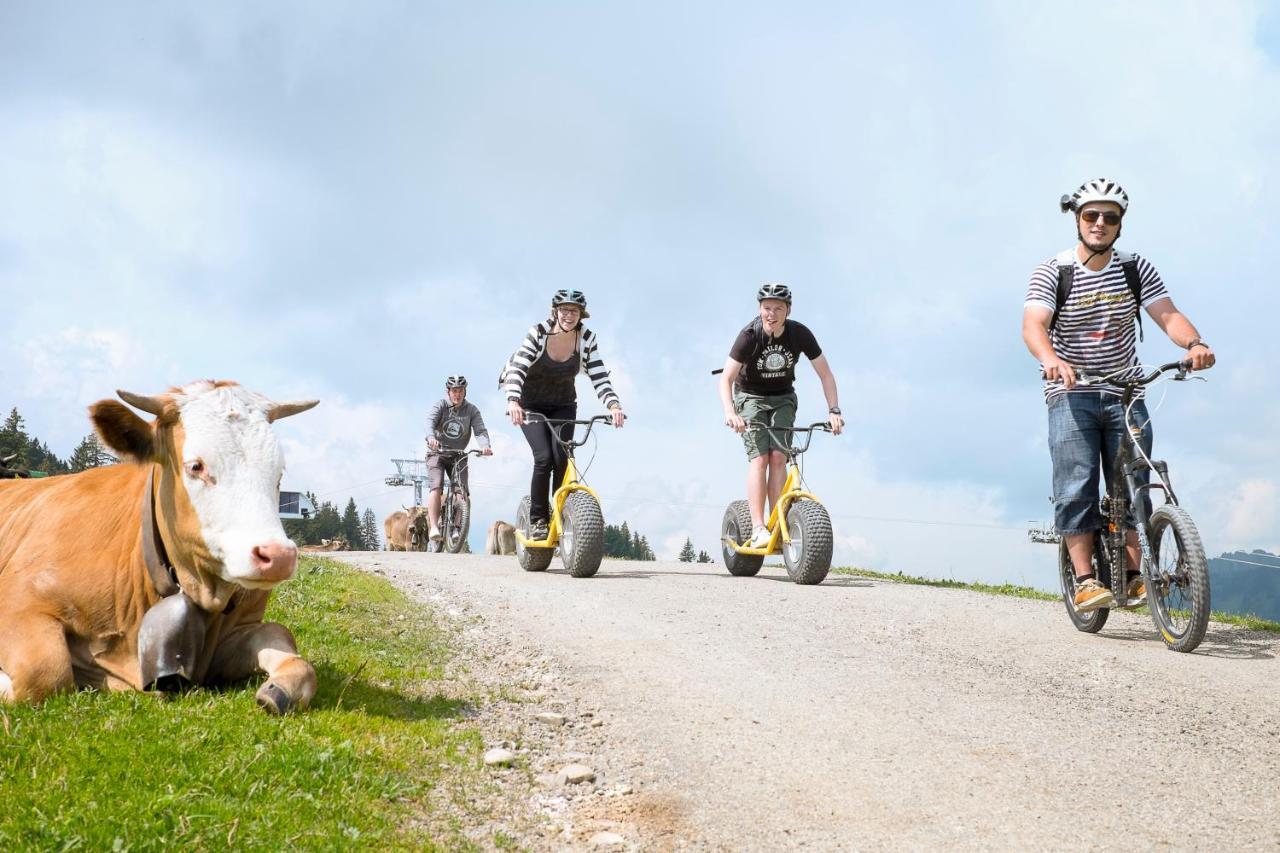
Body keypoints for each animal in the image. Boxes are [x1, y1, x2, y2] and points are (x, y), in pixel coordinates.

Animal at [0, 379, 318, 712]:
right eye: (196, 466)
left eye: (278, 472)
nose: (279, 556)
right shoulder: (18, 601)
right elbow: (44, 672)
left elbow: (285, 641)